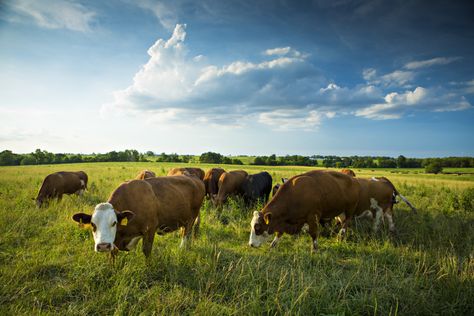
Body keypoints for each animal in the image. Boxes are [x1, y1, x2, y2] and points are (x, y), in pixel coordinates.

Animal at [71, 175, 205, 260]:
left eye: (114, 223)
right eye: (93, 225)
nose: (103, 246)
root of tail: (195, 178)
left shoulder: (150, 229)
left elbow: (146, 250)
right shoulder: (114, 242)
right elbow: (113, 253)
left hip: (192, 217)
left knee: (186, 233)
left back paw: (182, 248)